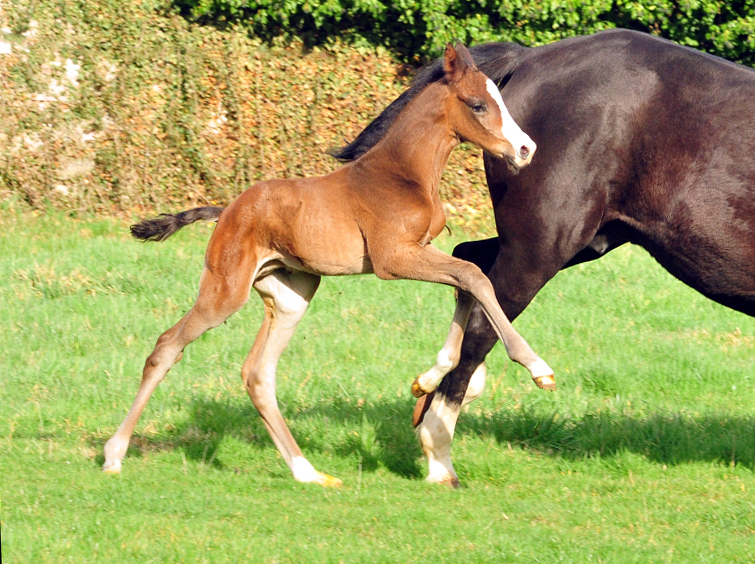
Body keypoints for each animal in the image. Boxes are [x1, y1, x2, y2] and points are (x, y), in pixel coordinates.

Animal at [100, 43, 556, 484]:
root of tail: (226, 210)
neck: (404, 172)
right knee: (167, 346)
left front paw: (425, 381)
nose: (526, 149)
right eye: (478, 104)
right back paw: (114, 454)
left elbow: (466, 282)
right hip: (224, 291)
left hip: (291, 295)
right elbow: (473, 276)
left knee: (258, 374)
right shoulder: (395, 258)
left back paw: (308, 472)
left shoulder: (420, 251)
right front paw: (537, 367)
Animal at [334, 28, 755, 484]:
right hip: (543, 244)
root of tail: (531, 57)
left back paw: (434, 385)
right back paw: (439, 449)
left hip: (581, 241)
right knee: (482, 319)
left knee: (471, 269)